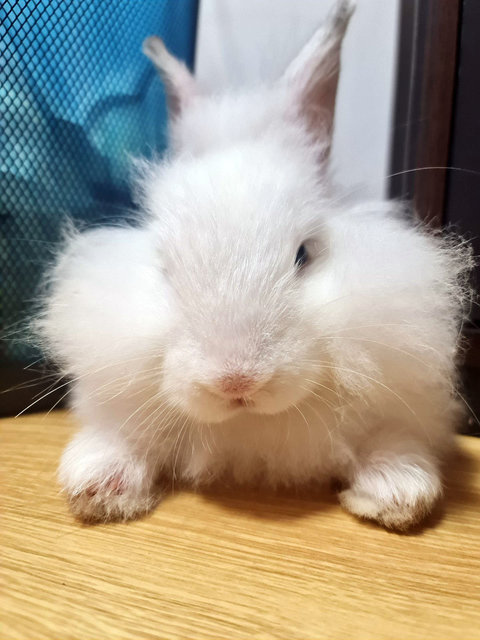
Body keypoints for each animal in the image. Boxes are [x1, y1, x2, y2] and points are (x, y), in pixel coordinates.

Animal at [35, 1, 470, 528]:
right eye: (165, 265)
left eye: (305, 254)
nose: (236, 380)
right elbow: (122, 436)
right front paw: (97, 486)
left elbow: (390, 439)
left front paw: (400, 492)